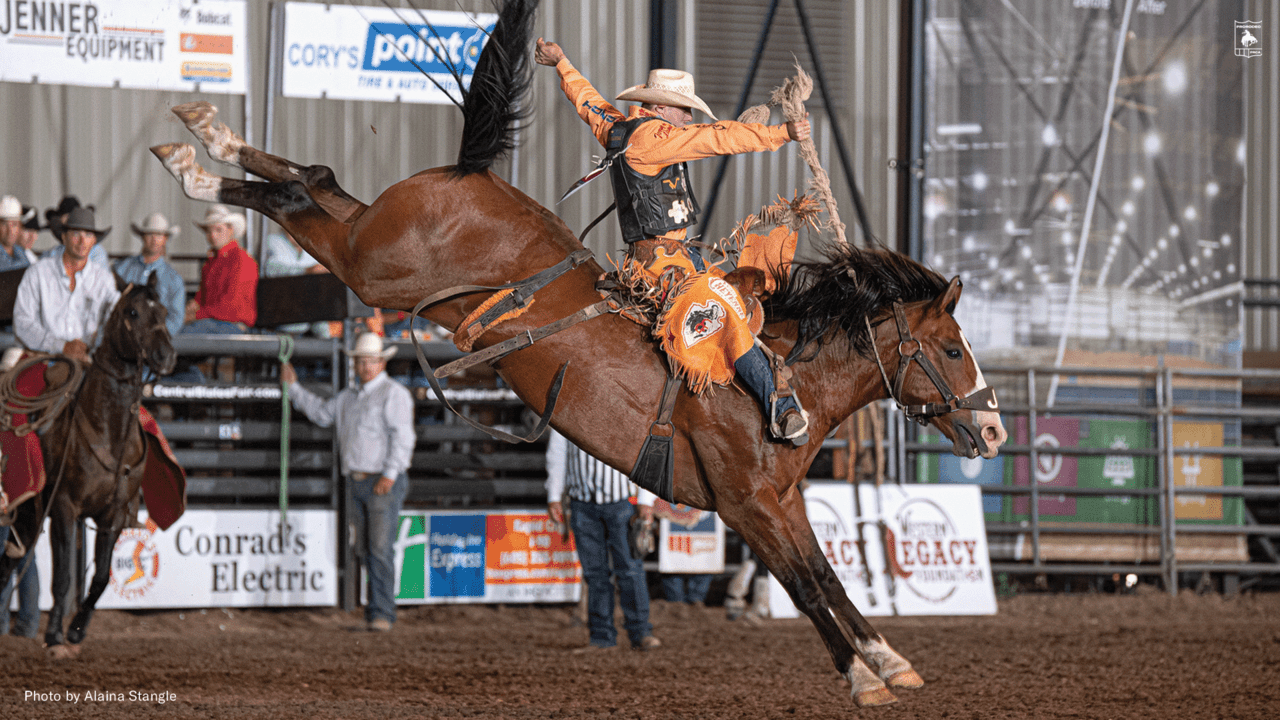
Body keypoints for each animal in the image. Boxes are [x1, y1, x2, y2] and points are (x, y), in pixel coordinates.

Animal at [149, 0, 1003, 707]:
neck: (781, 379)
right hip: (371, 264)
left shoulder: (784, 502)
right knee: (301, 199)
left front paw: (889, 659)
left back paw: (200, 134)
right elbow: (801, 584)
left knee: (316, 182)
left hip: (371, 243)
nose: (994, 430)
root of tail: (469, 175)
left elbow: (825, 572)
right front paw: (863, 677)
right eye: (952, 348)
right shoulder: (747, 505)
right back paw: (194, 161)